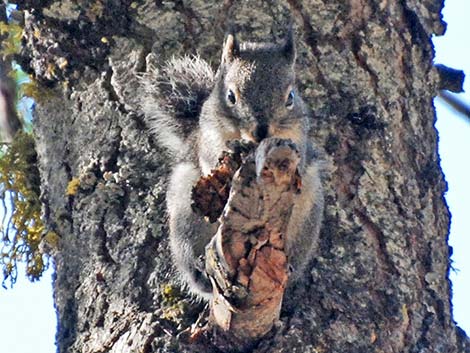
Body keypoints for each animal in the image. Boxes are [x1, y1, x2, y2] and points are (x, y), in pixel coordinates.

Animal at [141, 31, 324, 300]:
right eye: (230, 96)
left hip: (306, 222)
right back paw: (199, 272)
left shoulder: (298, 140)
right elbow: (211, 159)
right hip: (187, 217)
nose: (261, 131)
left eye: (290, 97)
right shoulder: (208, 139)